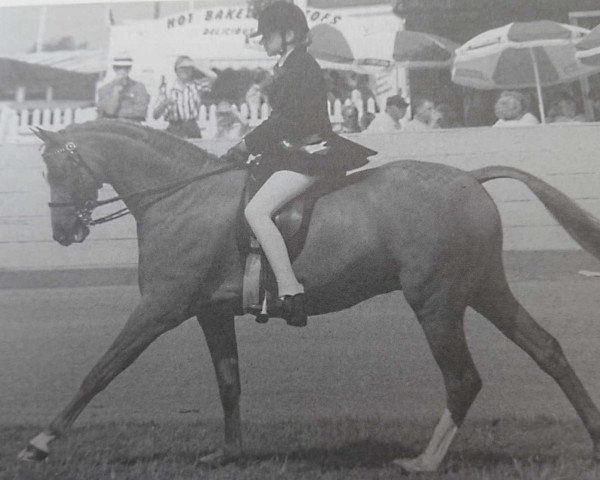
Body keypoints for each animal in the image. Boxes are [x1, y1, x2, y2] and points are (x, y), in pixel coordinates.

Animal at [18, 121, 600, 472]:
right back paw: (593, 436)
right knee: (547, 349)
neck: (183, 195)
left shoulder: (159, 309)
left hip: (436, 302)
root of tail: (469, 179)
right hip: (482, 288)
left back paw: (423, 462)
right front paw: (228, 455)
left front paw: (40, 443)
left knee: (463, 378)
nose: (64, 232)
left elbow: (101, 370)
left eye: (57, 167)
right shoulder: (209, 314)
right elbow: (228, 382)